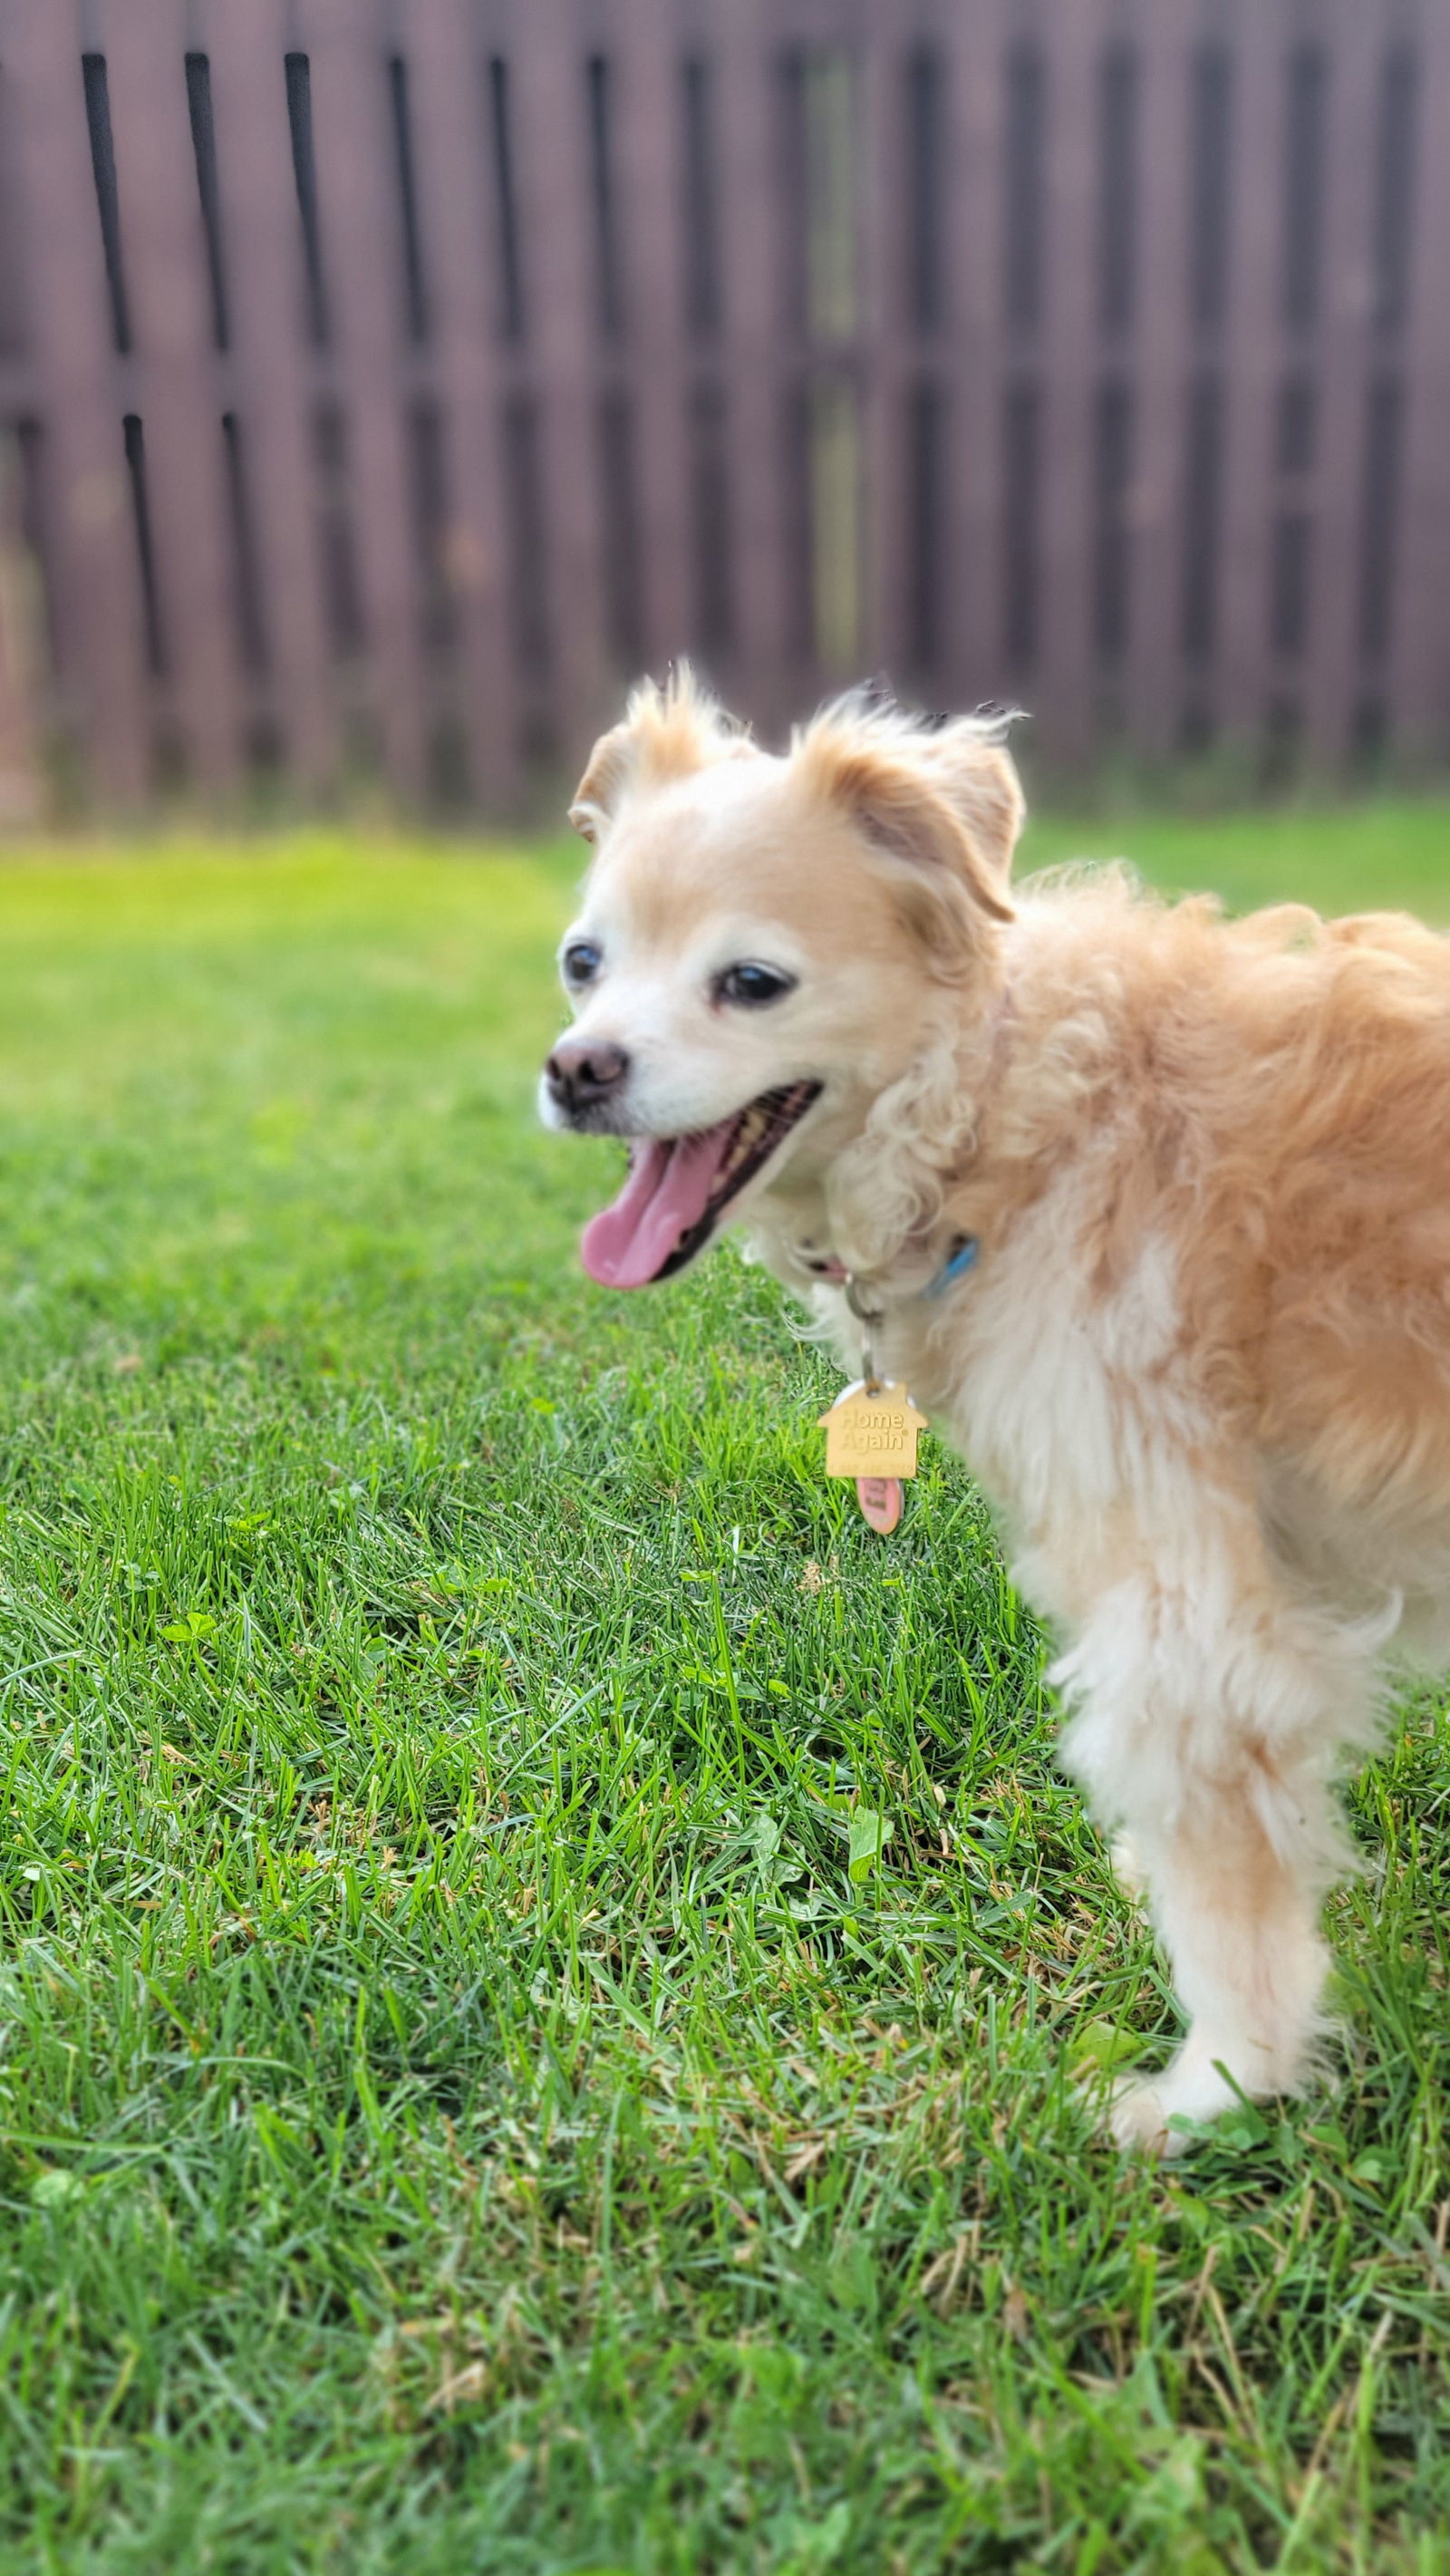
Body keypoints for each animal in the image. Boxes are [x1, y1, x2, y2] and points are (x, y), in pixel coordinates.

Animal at [540, 669, 1450, 2153]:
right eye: (583, 961)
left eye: (751, 982)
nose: (576, 1071)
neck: (1018, 1112)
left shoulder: (1180, 1604)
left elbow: (1227, 1885)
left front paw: (1221, 2086)